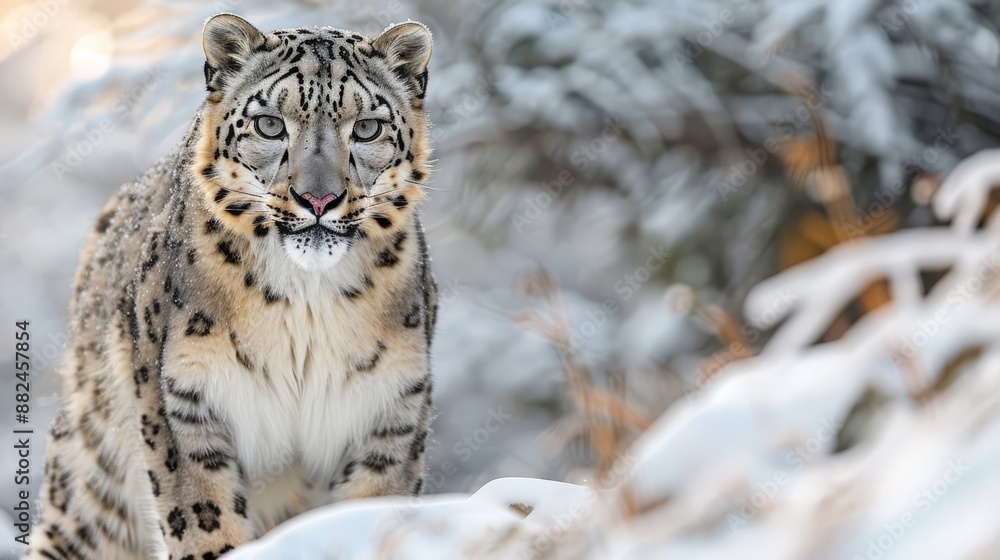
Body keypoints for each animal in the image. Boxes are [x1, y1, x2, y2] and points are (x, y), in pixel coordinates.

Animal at [23, 13, 438, 560]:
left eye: (367, 127)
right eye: (270, 124)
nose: (318, 199)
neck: (308, 305)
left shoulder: (392, 409)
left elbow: (375, 507)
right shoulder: (181, 401)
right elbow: (202, 515)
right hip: (90, 488)